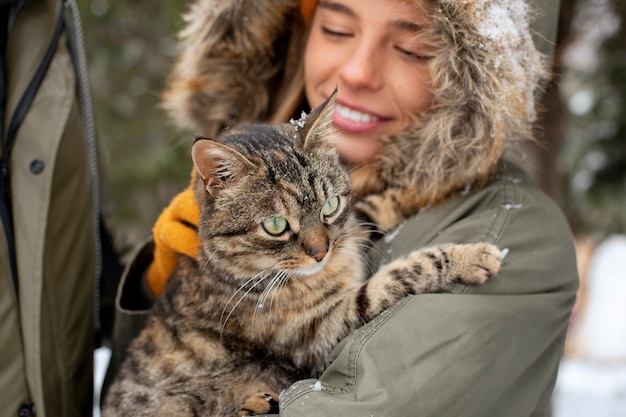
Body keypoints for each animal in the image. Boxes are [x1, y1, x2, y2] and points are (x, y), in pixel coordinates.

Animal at [102, 95, 502, 416]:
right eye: (276, 225)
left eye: (330, 205)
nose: (320, 251)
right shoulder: (319, 332)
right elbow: (393, 278)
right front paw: (469, 256)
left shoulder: (349, 229)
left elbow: (371, 209)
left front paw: (432, 187)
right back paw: (256, 404)